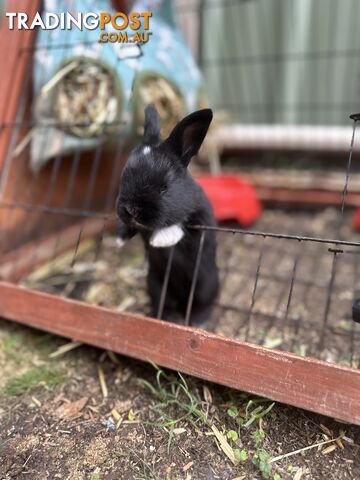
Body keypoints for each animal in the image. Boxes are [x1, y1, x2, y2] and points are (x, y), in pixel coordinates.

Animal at [116, 103, 219, 324]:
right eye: (123, 178)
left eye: (164, 187)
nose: (132, 211)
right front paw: (120, 239)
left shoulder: (199, 216)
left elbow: (179, 226)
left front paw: (162, 239)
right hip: (155, 285)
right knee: (166, 304)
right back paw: (164, 317)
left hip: (205, 284)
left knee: (201, 304)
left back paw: (197, 320)